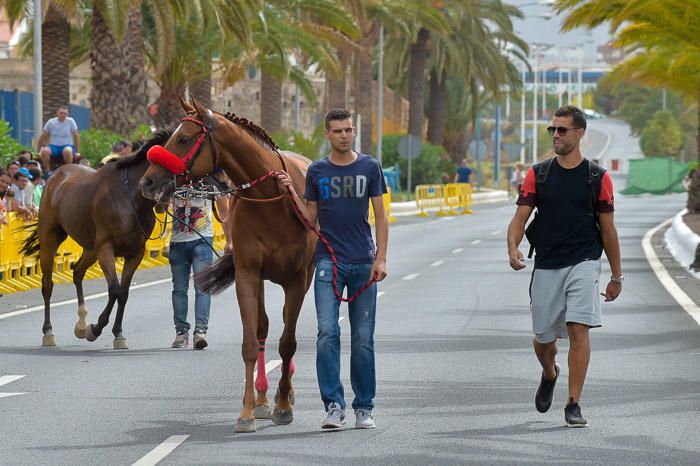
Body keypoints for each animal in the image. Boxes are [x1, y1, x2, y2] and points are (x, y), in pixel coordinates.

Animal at [22, 131, 171, 350]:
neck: (130, 197)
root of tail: (56, 175)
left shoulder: (135, 252)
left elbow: (123, 293)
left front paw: (118, 334)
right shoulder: (106, 249)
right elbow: (115, 289)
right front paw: (96, 328)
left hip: (90, 248)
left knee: (77, 272)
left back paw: (81, 324)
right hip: (51, 238)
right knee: (47, 284)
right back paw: (49, 332)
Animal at [139, 98, 314, 434]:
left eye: (184, 139)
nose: (148, 181)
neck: (271, 199)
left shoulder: (297, 279)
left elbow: (288, 342)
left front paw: (284, 404)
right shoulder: (248, 274)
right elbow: (250, 342)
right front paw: (247, 411)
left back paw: (284, 395)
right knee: (263, 327)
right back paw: (262, 399)